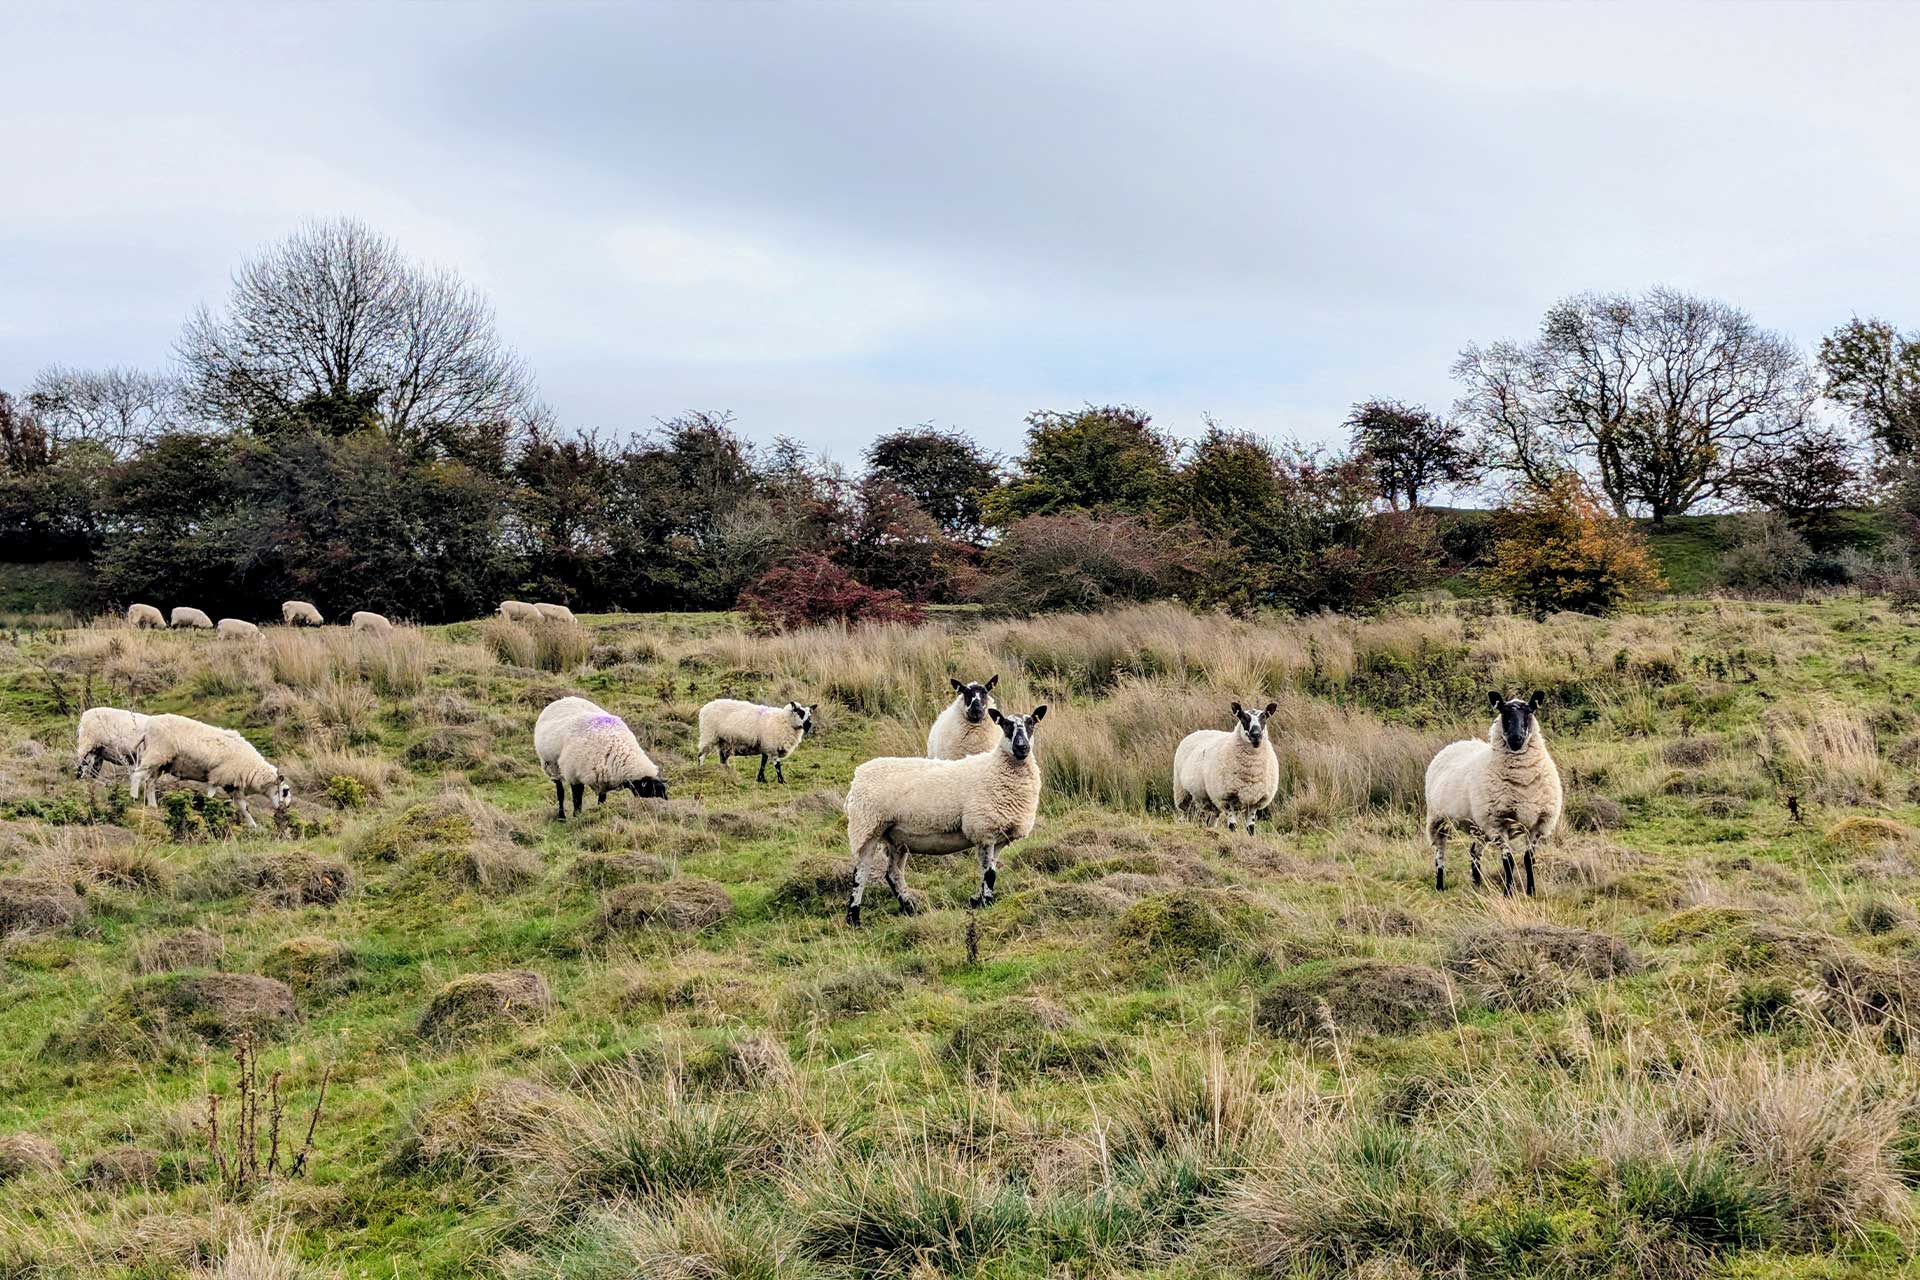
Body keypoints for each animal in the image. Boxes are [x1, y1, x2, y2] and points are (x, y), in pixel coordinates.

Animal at [130, 713, 291, 828]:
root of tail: (147, 728)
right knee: (137, 774)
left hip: (162, 762)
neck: (252, 769)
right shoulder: (217, 777)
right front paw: (209, 812)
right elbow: (211, 797)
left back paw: (153, 805)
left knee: (150, 783)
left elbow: (244, 807)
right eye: (285, 791)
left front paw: (253, 826)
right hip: (157, 752)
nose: (285, 809)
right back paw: (133, 797)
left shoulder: (232, 785)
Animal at [533, 695, 666, 818]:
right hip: (551, 766)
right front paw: (577, 817)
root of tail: (562, 700)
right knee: (560, 792)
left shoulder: (603, 781)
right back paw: (561, 817)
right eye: (652, 791)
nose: (666, 804)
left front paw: (600, 811)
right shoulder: (574, 776)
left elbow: (601, 800)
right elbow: (577, 800)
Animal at [844, 706, 1047, 925]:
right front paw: (987, 903)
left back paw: (909, 907)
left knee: (893, 873)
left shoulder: (999, 836)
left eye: (1031, 723)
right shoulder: (983, 830)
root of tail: (857, 777)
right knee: (861, 873)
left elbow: (990, 870)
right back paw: (854, 918)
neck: (996, 767)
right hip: (867, 827)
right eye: (1006, 725)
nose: (1022, 747)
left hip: (896, 837)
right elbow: (989, 873)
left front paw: (977, 900)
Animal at [1172, 701, 1280, 834]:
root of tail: (1197, 731)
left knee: (1211, 820)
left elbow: (1250, 828)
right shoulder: (1226, 797)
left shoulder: (1255, 800)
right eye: (1243, 717)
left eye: (1264, 717)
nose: (1256, 735)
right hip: (1183, 793)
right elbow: (1232, 826)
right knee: (1184, 815)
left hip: (1211, 801)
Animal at [1424, 691, 1563, 897]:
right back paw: (1440, 885)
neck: (1523, 782)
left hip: (1479, 827)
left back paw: (1477, 884)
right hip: (1438, 819)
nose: (1515, 738)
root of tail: (1457, 743)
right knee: (1440, 853)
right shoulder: (1497, 824)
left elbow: (1528, 859)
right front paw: (1508, 892)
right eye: (1503, 712)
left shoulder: (1538, 825)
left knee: (1474, 851)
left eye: (1529, 711)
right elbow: (1509, 861)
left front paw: (1531, 891)